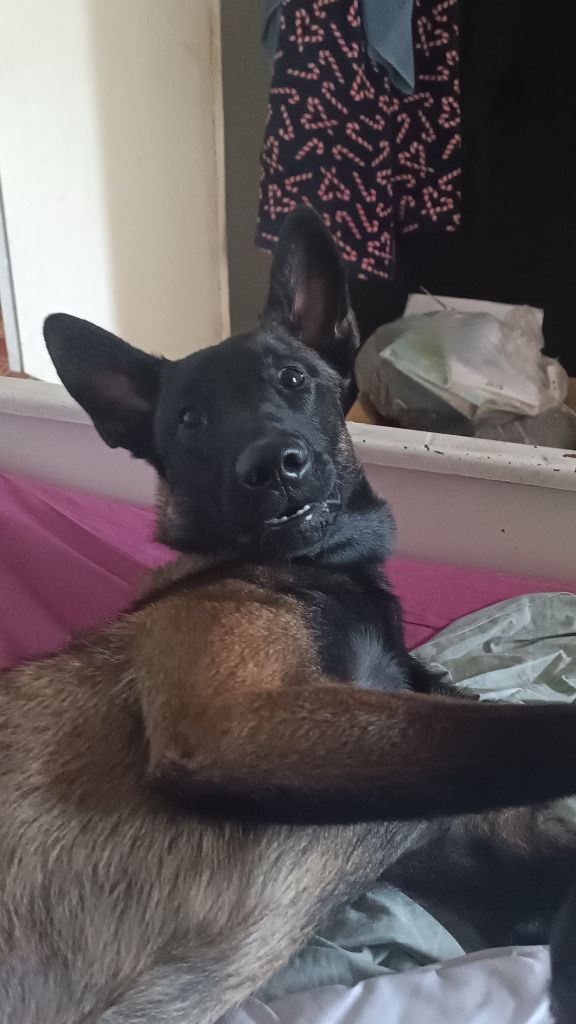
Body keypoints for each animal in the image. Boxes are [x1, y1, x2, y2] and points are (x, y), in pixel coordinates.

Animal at [1, 206, 576, 1022]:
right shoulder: (230, 721)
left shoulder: (468, 848)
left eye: (294, 380)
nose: (273, 466)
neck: (306, 565)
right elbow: (522, 729)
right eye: (190, 419)